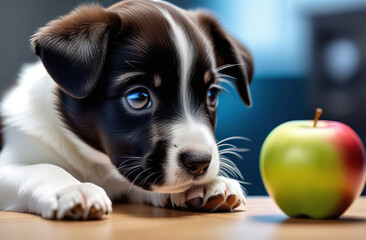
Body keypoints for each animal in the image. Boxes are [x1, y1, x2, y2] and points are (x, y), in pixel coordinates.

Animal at [0, 0, 253, 219]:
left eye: (211, 95)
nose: (199, 162)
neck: (95, 163)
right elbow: (43, 167)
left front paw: (212, 183)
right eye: (138, 97)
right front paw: (71, 187)